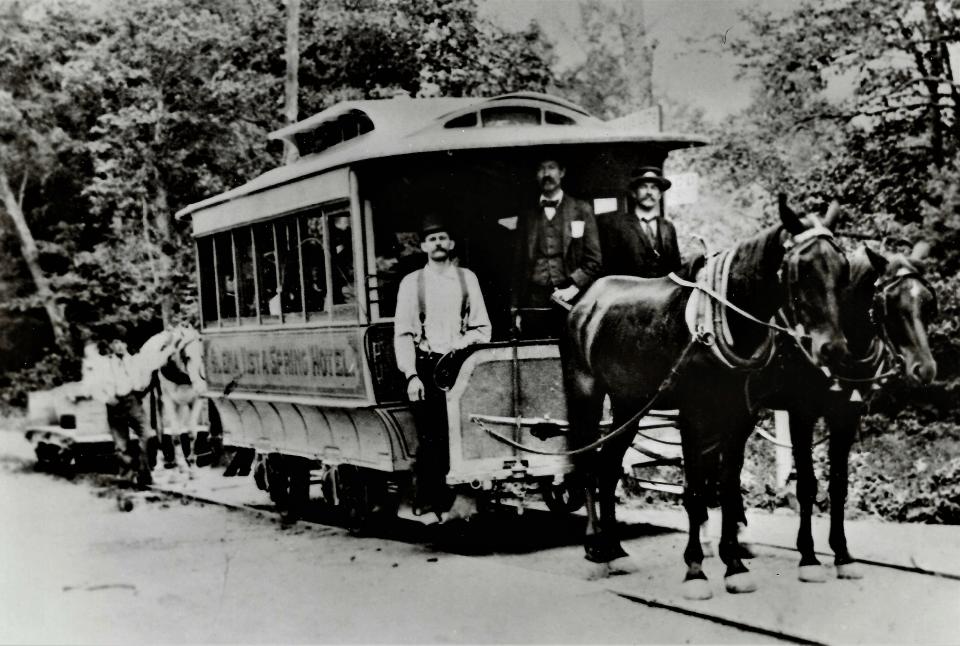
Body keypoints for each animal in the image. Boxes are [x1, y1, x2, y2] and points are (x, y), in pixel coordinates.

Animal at [564, 200, 848, 600]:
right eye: (800, 270)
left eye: (843, 267)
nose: (833, 349)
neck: (727, 317)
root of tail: (586, 302)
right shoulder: (693, 416)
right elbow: (696, 490)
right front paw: (695, 571)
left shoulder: (739, 417)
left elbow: (727, 487)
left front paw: (734, 565)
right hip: (586, 396)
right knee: (588, 464)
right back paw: (594, 546)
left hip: (628, 405)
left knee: (608, 468)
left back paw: (617, 551)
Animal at [752, 242, 936, 584]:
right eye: (888, 303)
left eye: (928, 303)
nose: (925, 369)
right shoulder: (801, 414)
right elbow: (807, 486)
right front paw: (808, 556)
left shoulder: (846, 416)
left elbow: (839, 485)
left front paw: (842, 554)